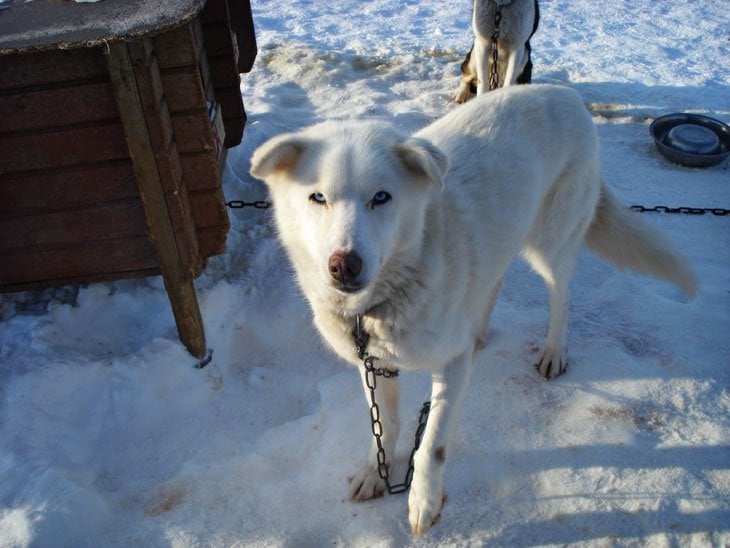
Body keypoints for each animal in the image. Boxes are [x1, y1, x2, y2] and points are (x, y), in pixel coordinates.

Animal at [249, 85, 692, 536]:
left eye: (381, 197)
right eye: (318, 197)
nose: (344, 265)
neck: (382, 300)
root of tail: (564, 93)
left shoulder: (451, 365)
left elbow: (432, 446)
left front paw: (423, 501)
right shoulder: (375, 363)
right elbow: (386, 424)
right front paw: (376, 471)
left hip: (552, 244)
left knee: (561, 296)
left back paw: (554, 351)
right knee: (492, 282)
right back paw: (479, 332)